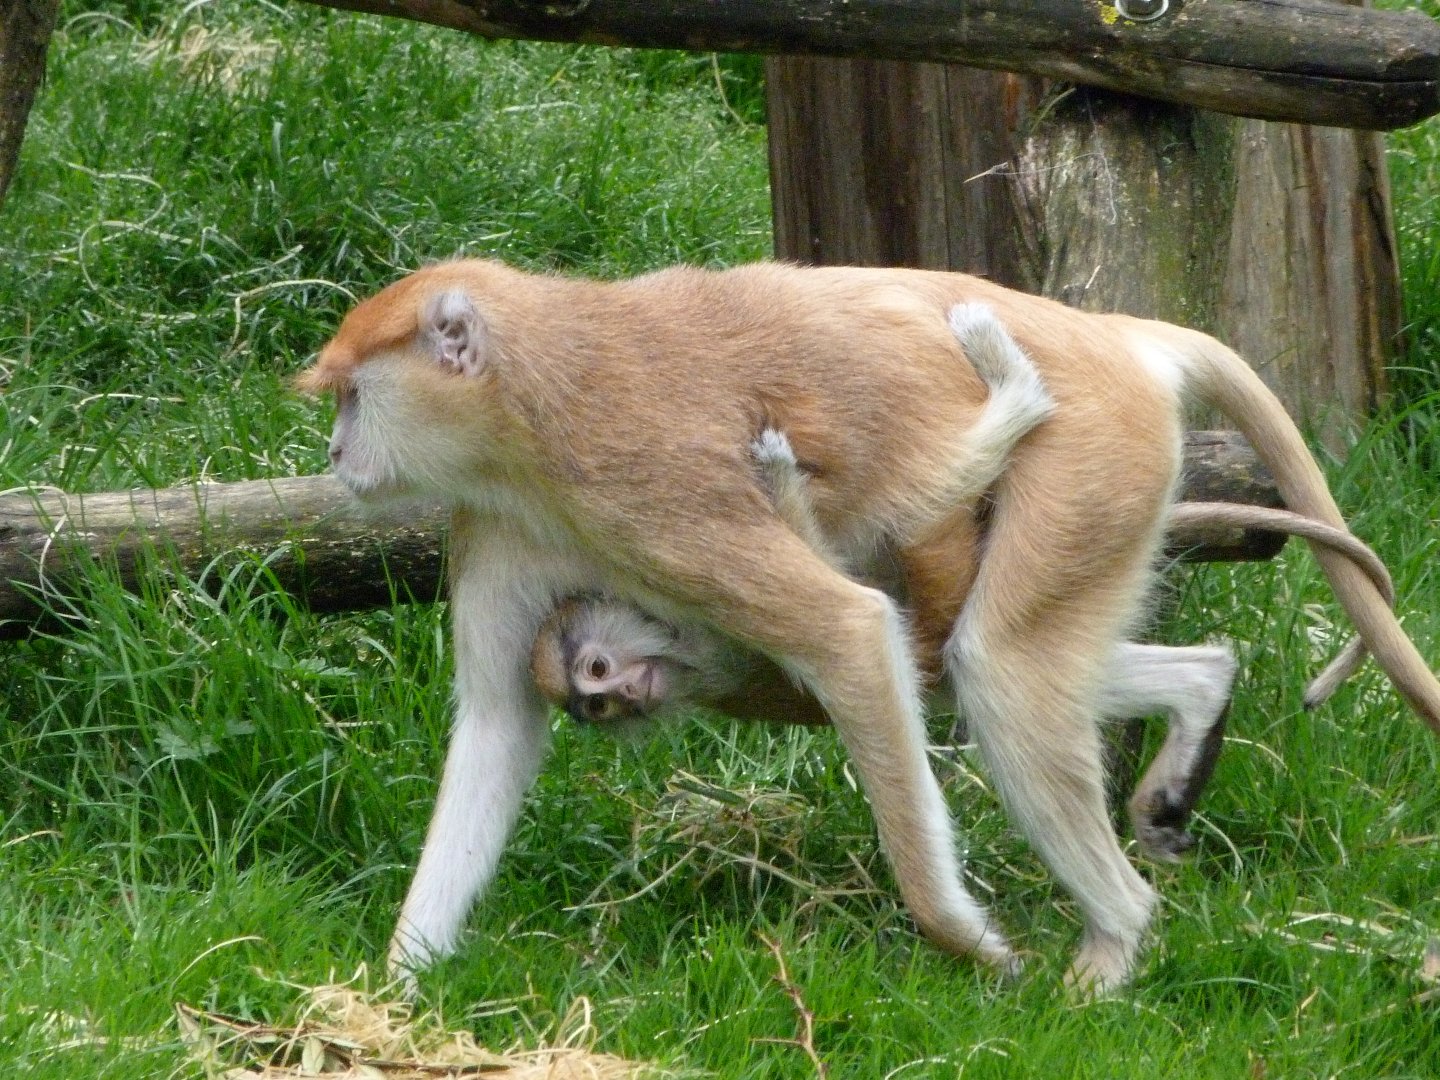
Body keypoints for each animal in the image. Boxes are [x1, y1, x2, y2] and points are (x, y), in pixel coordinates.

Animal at [298, 258, 1440, 994]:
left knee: (998, 667)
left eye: (352, 395)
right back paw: (1196, 701)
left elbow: (848, 632)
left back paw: (1114, 941)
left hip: (1092, 453)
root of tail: (1120, 338)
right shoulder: (499, 522)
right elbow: (496, 728)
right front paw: (392, 992)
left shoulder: (651, 488)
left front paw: (971, 943)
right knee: (1008, 661)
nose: (339, 454)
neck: (529, 400)